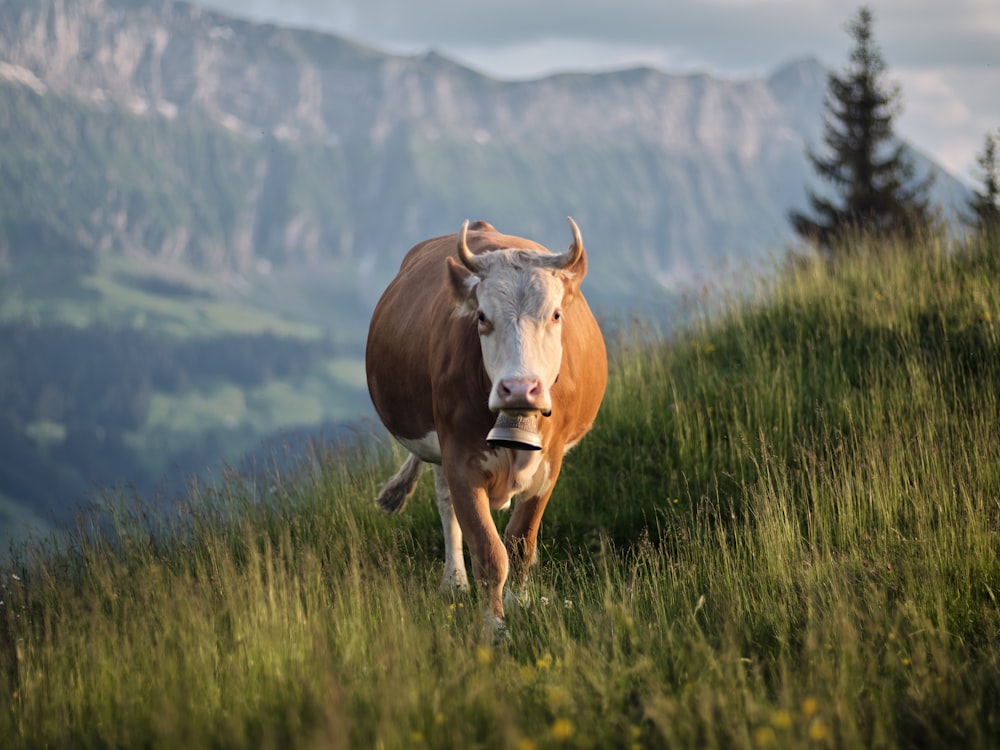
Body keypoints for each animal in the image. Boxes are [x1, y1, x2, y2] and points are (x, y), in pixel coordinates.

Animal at [364, 217, 604, 636]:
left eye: (556, 314)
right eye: (482, 317)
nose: (519, 387)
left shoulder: (550, 463)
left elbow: (521, 542)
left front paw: (520, 604)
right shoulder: (459, 456)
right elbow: (488, 549)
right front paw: (494, 626)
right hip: (438, 449)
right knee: (446, 506)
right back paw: (454, 582)